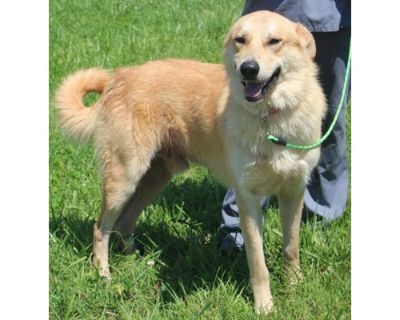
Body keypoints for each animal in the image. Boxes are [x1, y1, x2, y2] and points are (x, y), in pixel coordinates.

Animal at [54, 10, 326, 316]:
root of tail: (120, 78)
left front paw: (294, 287)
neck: (272, 116)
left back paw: (136, 260)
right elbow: (258, 264)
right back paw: (104, 274)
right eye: (240, 40)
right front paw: (264, 306)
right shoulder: (248, 199)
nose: (248, 69)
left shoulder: (294, 191)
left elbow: (291, 247)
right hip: (124, 178)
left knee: (125, 222)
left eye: (274, 41)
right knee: (101, 228)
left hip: (157, 177)